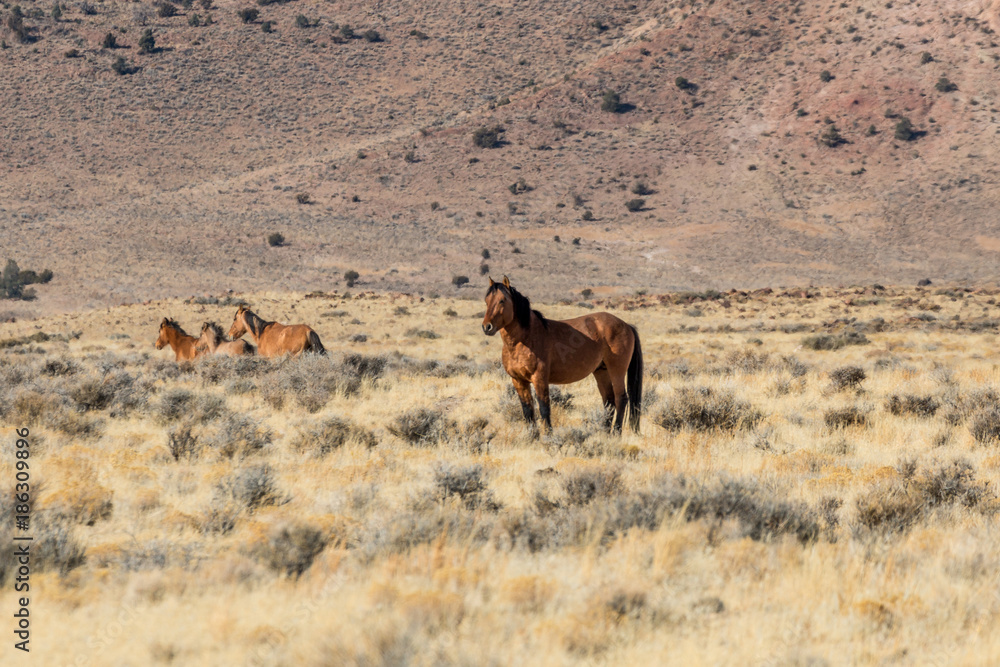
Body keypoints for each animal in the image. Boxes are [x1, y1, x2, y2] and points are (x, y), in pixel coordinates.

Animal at [482, 276, 643, 434]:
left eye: (502, 300)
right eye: (486, 300)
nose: (486, 327)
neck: (524, 339)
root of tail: (626, 325)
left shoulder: (539, 378)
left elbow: (544, 408)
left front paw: (548, 436)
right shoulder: (518, 380)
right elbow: (527, 410)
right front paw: (532, 436)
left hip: (616, 370)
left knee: (621, 398)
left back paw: (616, 432)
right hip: (601, 371)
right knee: (609, 401)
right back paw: (604, 433)